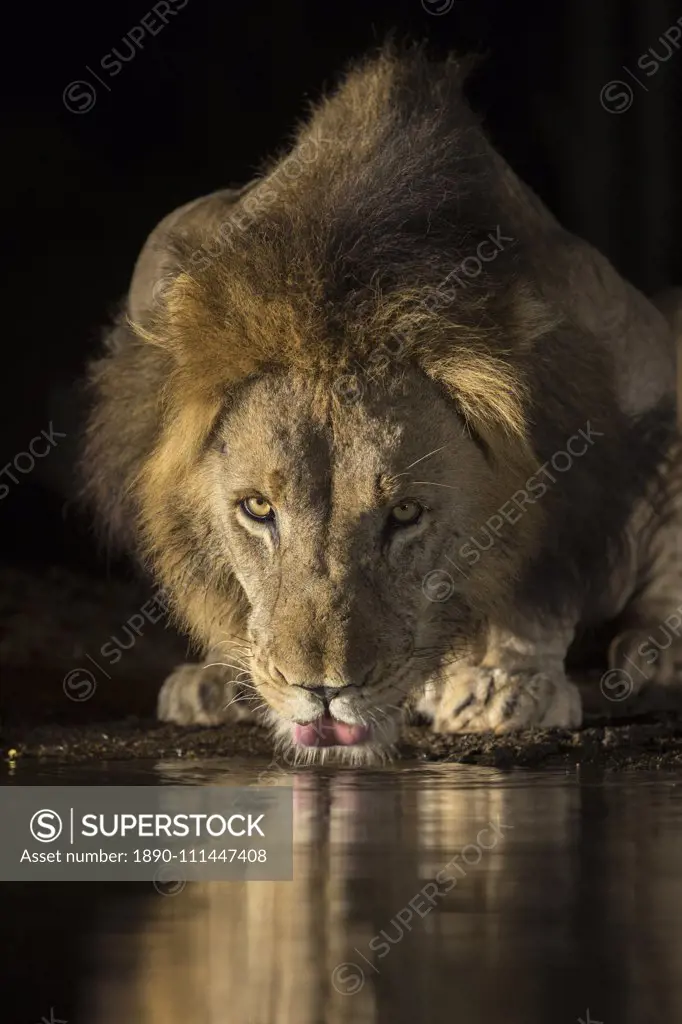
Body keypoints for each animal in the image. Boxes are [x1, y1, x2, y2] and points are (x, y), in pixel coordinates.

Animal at [83, 44, 679, 761]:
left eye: (406, 514)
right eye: (257, 509)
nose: (322, 689)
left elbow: (537, 590)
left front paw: (504, 686)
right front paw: (224, 675)